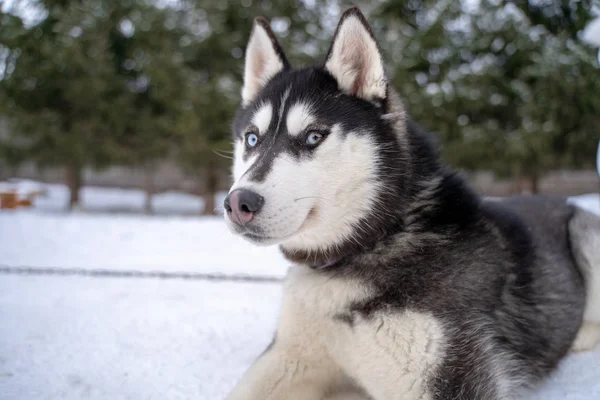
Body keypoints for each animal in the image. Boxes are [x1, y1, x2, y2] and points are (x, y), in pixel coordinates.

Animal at [223, 7, 600, 400]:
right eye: (252, 139)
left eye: (313, 136)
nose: (238, 203)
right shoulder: (289, 354)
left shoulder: (448, 378)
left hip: (585, 234)